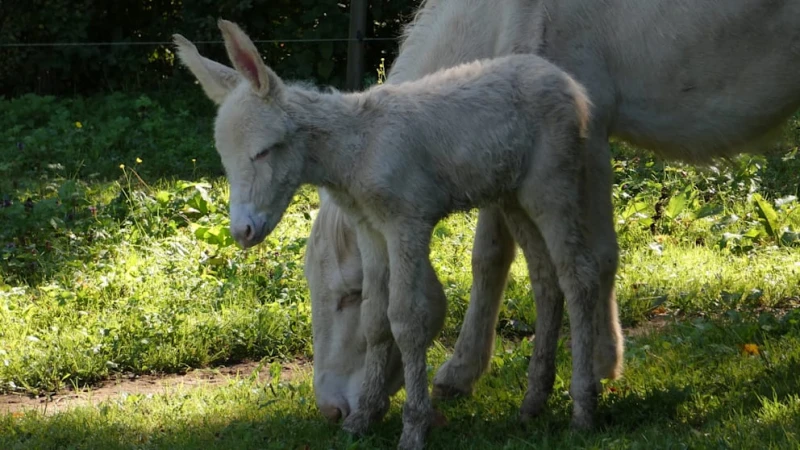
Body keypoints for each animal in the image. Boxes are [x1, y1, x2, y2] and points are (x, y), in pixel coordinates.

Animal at [175, 18, 600, 450]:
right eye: (225, 160)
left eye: (264, 151)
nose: (242, 232)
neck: (357, 148)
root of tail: (567, 83)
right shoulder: (370, 229)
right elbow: (376, 320)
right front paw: (362, 418)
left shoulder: (406, 223)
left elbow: (408, 320)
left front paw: (414, 427)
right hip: (514, 196)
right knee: (546, 282)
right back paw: (533, 403)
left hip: (552, 184)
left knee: (578, 277)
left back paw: (583, 409)